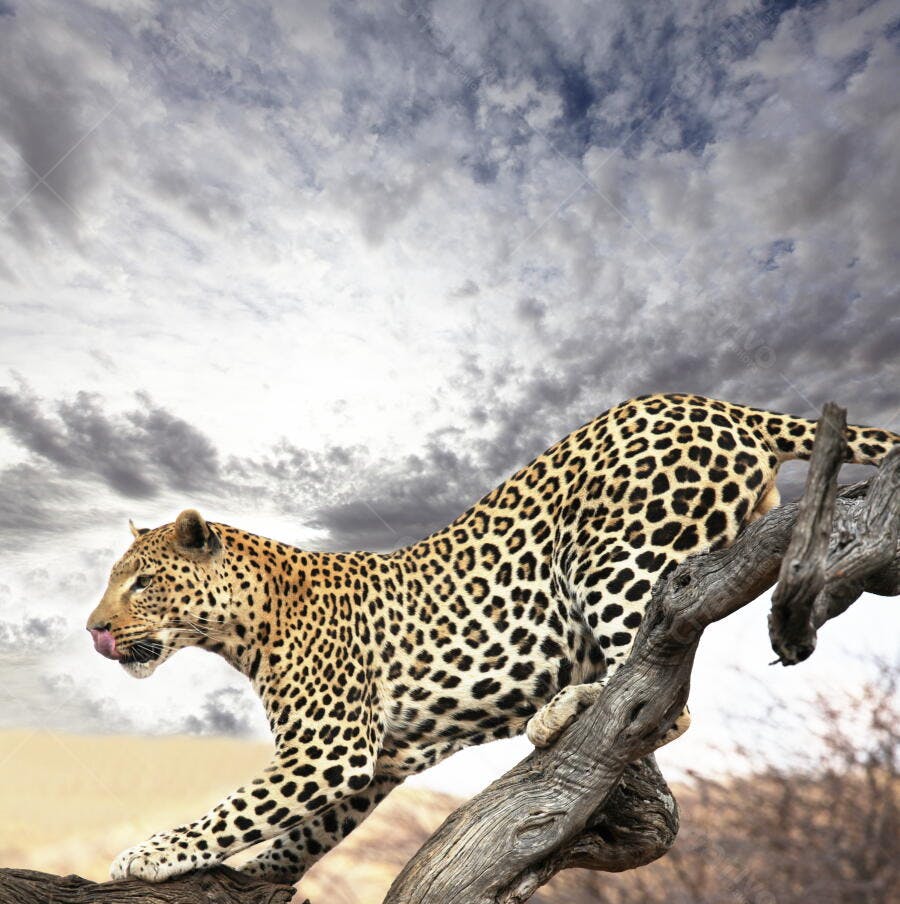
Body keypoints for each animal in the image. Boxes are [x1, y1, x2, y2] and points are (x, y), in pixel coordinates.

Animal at [86, 393, 898, 884]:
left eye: (141, 583)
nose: (93, 630)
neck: (245, 625)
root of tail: (714, 402)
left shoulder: (330, 747)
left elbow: (237, 808)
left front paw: (148, 854)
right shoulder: (375, 761)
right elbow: (293, 834)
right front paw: (255, 876)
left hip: (616, 556)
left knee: (662, 690)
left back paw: (564, 709)